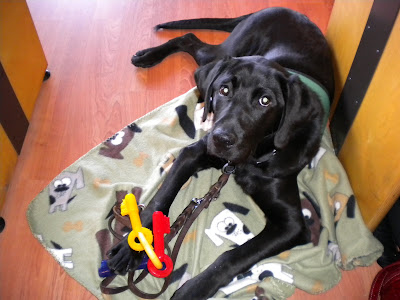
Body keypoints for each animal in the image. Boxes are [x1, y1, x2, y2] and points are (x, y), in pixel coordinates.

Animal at [108, 7, 334, 300]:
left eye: (265, 101)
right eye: (224, 90)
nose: (221, 139)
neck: (252, 157)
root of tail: (277, 8)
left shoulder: (292, 224)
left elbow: (234, 257)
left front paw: (195, 288)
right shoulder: (193, 153)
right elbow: (159, 201)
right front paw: (133, 246)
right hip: (229, 51)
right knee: (190, 39)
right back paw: (148, 56)